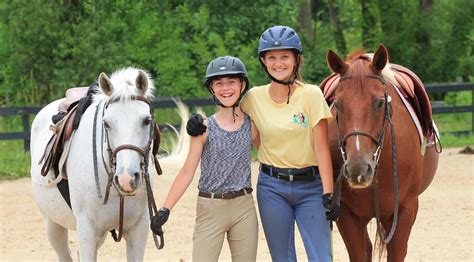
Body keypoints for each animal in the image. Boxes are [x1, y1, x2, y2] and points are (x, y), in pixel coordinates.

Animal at [30, 66, 159, 260]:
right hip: (52, 222)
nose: (126, 178)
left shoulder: (139, 228)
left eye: (146, 120)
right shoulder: (87, 232)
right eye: (106, 123)